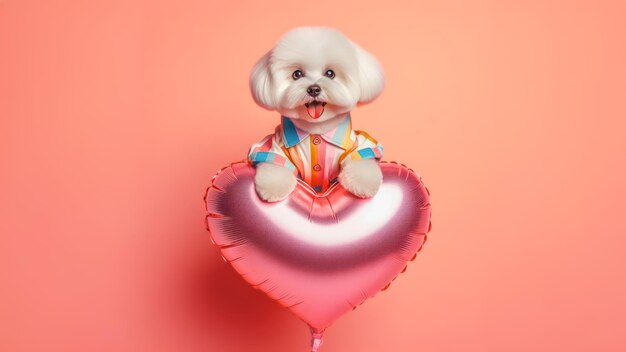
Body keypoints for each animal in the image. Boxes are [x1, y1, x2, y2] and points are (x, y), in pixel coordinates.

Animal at [246, 27, 382, 202]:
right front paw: (273, 188)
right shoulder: (274, 145)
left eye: (330, 73)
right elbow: (274, 162)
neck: (316, 130)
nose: (313, 89)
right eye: (297, 74)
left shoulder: (358, 143)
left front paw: (364, 182)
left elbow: (361, 158)